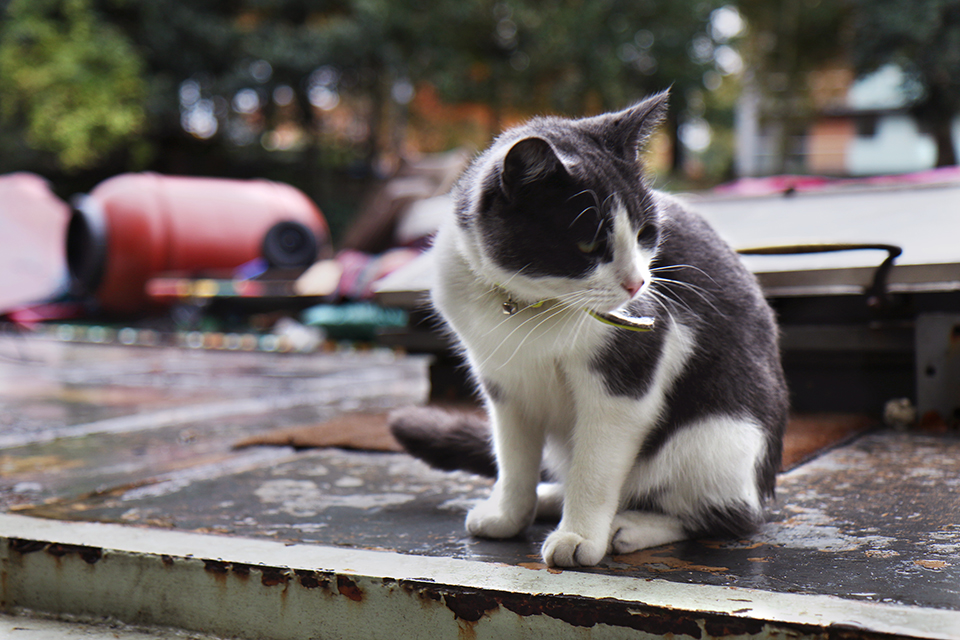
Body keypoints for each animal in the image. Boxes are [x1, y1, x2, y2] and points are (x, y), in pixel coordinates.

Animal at [390, 92, 788, 568]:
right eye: (587, 244)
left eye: (645, 233)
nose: (638, 283)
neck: (531, 309)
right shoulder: (503, 384)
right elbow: (514, 458)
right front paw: (509, 515)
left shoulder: (625, 381)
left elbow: (596, 468)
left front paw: (579, 536)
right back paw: (550, 497)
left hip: (717, 440)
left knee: (724, 515)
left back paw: (629, 526)